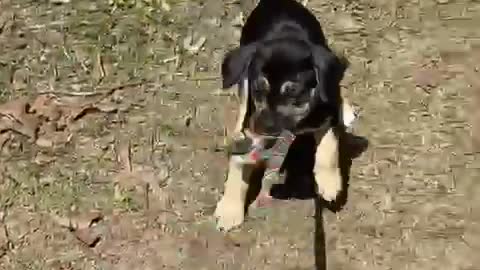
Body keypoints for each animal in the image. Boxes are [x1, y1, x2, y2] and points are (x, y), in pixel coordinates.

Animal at [214, 0, 352, 231]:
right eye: (259, 89)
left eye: (293, 92)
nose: (262, 128)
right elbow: (238, 163)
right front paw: (230, 209)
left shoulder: (328, 111)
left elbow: (329, 146)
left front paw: (329, 182)